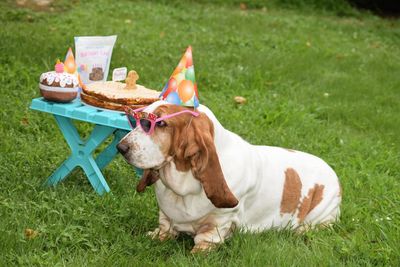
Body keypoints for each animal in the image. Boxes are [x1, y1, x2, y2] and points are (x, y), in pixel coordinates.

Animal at [116, 100, 340, 253]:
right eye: (136, 121)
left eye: (159, 124)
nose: (120, 147)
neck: (183, 186)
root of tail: (332, 170)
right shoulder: (166, 214)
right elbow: (164, 227)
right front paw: (155, 236)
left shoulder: (220, 221)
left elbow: (205, 240)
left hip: (324, 212)